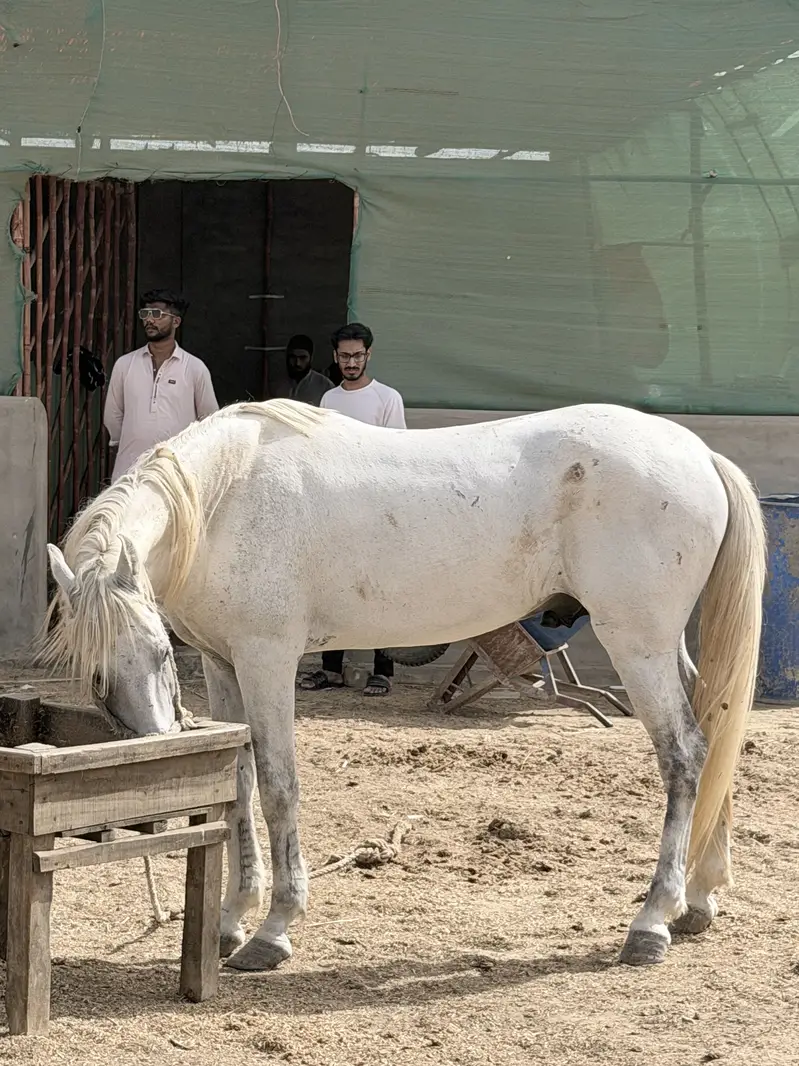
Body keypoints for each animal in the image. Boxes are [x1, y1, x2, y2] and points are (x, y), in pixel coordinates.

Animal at [42, 398, 765, 972]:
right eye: (98, 677)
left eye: (160, 653)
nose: (156, 772)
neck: (226, 497)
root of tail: (698, 454)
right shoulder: (225, 665)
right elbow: (239, 787)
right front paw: (231, 921)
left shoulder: (266, 661)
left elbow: (278, 788)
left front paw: (273, 931)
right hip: (661, 649)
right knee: (714, 733)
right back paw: (699, 900)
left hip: (637, 646)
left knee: (684, 756)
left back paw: (651, 921)